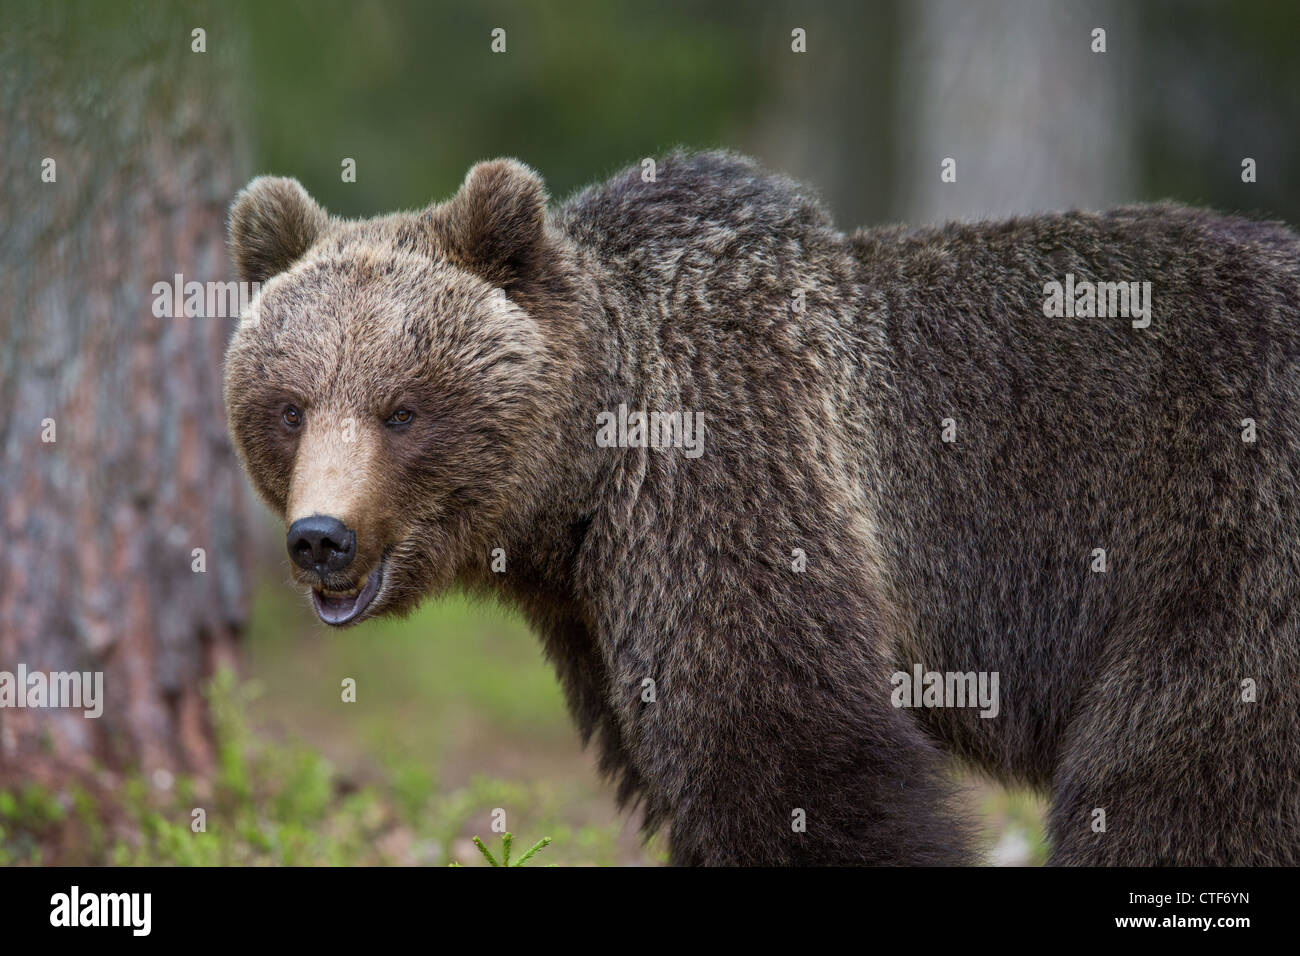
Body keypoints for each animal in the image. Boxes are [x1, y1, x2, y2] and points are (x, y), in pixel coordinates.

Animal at [223, 149, 1300, 868]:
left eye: (402, 409)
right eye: (290, 406)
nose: (321, 539)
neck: (577, 485)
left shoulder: (735, 478)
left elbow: (790, 755)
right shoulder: (600, 611)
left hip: (1224, 548)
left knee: (1176, 783)